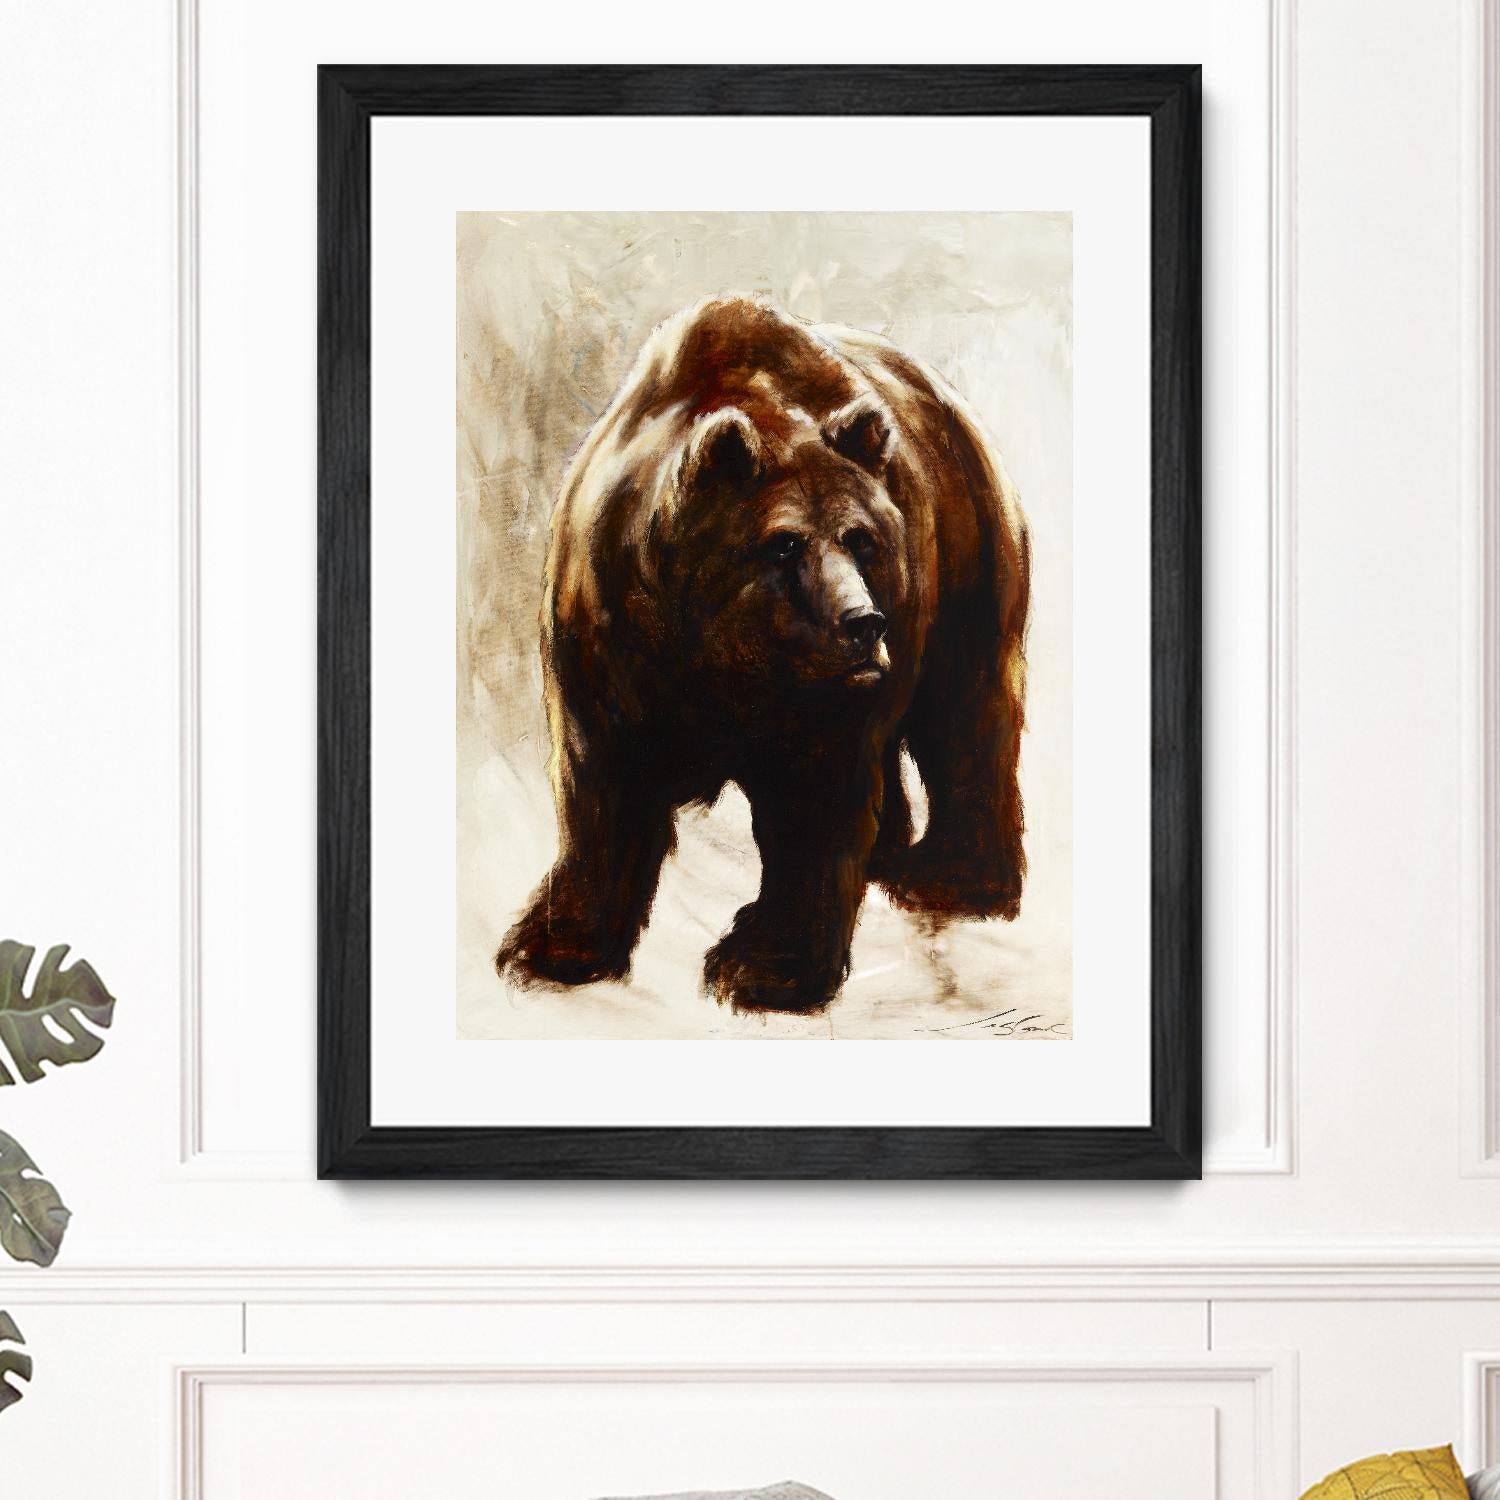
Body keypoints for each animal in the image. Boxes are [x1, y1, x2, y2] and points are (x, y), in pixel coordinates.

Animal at [496, 295, 1030, 1014]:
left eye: (860, 538)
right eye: (783, 544)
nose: (863, 623)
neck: (717, 658)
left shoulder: (817, 697)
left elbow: (816, 800)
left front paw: (764, 966)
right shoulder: (610, 649)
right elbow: (603, 789)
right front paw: (553, 946)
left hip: (966, 555)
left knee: (965, 711)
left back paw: (951, 877)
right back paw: (890, 856)